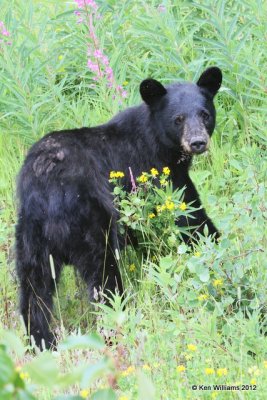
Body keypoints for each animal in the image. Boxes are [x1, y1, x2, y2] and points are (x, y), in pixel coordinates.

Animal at [15, 67, 223, 348]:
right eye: (178, 119)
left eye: (205, 114)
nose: (197, 142)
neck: (156, 140)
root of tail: (45, 185)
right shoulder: (155, 175)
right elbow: (190, 218)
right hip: (90, 221)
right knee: (103, 277)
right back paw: (119, 323)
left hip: (30, 233)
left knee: (34, 287)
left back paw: (43, 341)